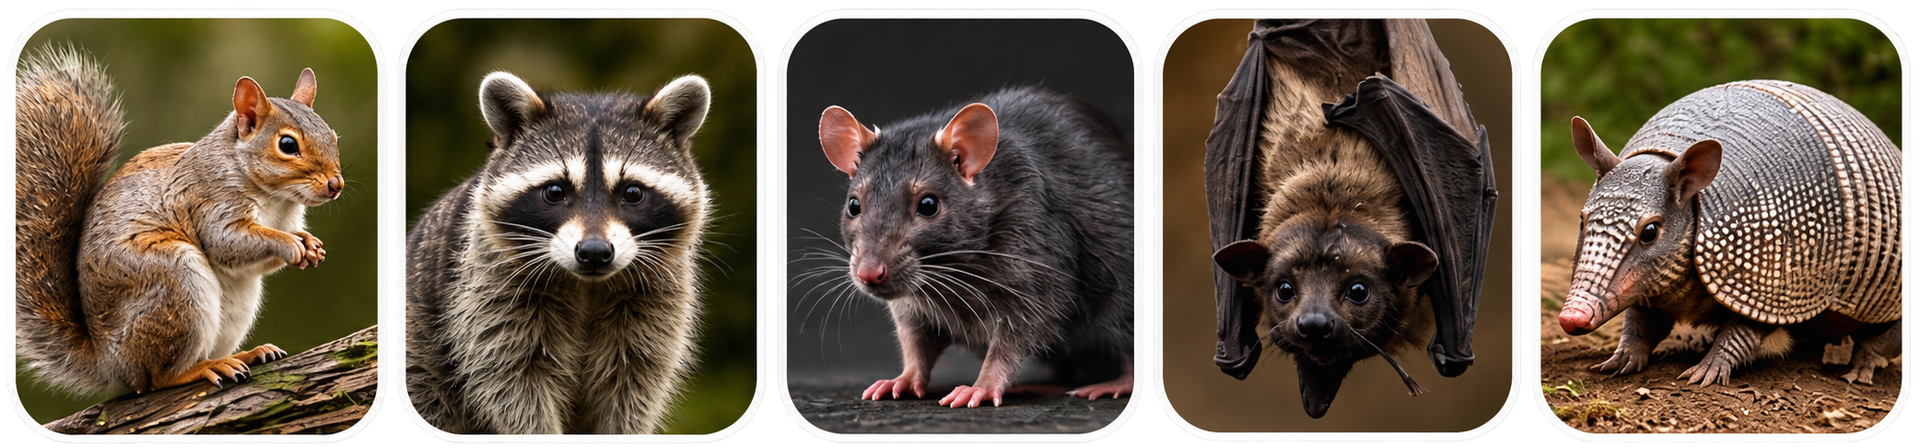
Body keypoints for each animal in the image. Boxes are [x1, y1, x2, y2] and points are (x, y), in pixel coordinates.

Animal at [15, 46, 344, 395]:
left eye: (332, 136)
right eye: (287, 145)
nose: (336, 185)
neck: (278, 200)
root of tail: (110, 364)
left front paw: (308, 242)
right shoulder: (209, 203)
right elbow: (228, 243)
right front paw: (289, 243)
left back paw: (248, 354)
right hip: (176, 279)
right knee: (159, 378)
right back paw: (206, 368)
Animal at [404, 72, 712, 434]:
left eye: (633, 193)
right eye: (554, 191)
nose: (594, 252)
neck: (589, 285)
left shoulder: (660, 299)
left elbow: (634, 385)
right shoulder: (482, 290)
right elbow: (509, 380)